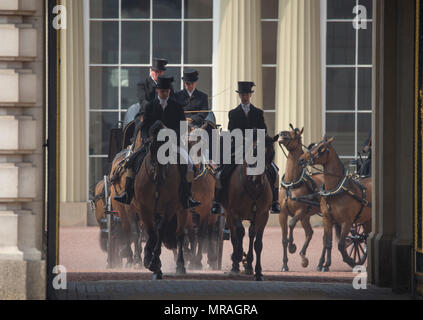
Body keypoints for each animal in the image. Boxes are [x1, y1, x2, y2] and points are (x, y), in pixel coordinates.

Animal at [132, 121, 189, 278]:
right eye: (152, 147)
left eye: (167, 150)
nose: (160, 176)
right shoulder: (144, 208)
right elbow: (151, 233)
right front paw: (149, 259)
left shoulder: (169, 207)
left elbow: (160, 231)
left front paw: (154, 260)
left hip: (181, 210)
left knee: (180, 234)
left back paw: (180, 265)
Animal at [222, 132, 278, 280]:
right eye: (254, 151)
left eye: (272, 153)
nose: (258, 180)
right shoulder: (234, 212)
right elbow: (239, 233)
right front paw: (238, 256)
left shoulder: (263, 215)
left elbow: (257, 242)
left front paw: (257, 270)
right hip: (228, 215)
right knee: (235, 236)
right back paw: (236, 263)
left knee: (251, 234)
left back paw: (248, 265)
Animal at [278, 126, 324, 272]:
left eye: (297, 134)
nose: (281, 134)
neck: (291, 184)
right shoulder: (282, 213)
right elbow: (283, 239)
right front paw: (284, 265)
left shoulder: (300, 210)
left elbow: (292, 223)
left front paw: (292, 246)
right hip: (306, 217)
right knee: (310, 232)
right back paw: (304, 257)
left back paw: (322, 263)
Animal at [300, 136, 372, 272]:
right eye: (312, 146)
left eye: (321, 148)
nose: (301, 159)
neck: (335, 191)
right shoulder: (327, 219)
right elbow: (328, 242)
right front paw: (325, 265)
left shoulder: (347, 222)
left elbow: (341, 244)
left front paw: (350, 260)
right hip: (366, 220)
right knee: (366, 237)